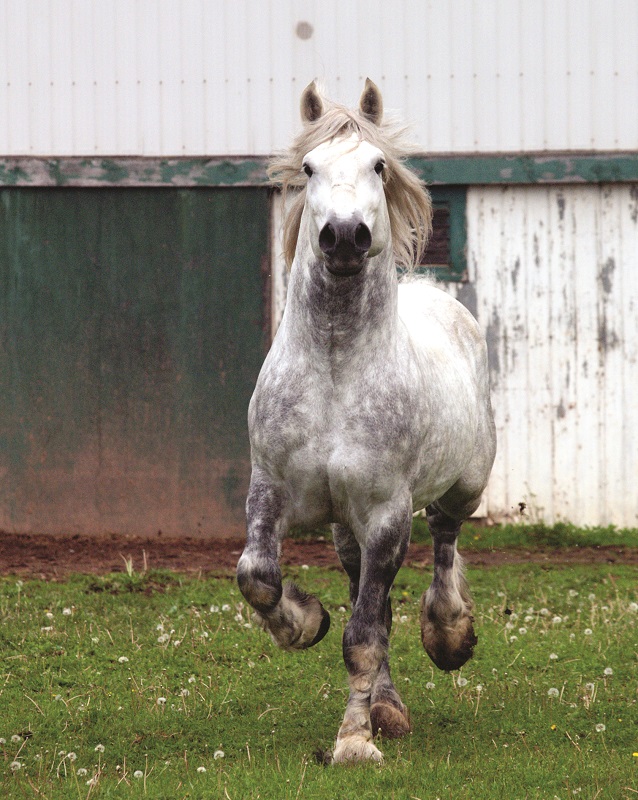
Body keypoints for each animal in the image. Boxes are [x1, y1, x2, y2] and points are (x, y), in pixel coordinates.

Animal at [238, 79, 498, 764]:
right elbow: (260, 577)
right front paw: (303, 623)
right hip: (345, 527)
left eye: (378, 166)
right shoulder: (269, 489)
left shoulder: (385, 513)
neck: (335, 369)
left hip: (460, 488)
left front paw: (354, 741)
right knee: (365, 591)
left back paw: (447, 636)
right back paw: (388, 703)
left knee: (442, 543)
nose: (345, 236)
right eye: (308, 168)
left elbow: (363, 635)